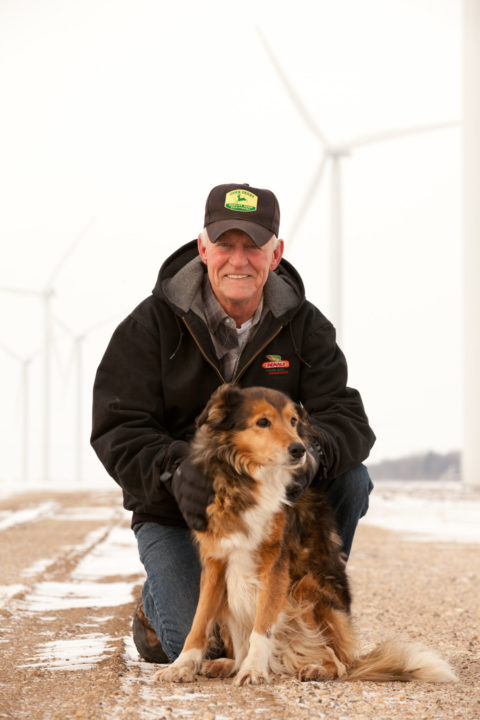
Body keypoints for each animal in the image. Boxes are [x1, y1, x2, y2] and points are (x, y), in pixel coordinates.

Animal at [155, 386, 458, 684]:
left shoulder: (275, 565)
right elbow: (198, 622)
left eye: (293, 421)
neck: (253, 480)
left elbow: (261, 628)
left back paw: (316, 669)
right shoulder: (216, 561)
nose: (299, 449)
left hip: (306, 590)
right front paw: (181, 666)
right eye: (263, 422)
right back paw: (227, 664)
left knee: (339, 663)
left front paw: (254, 670)